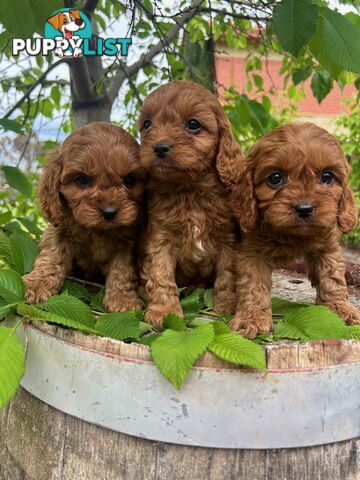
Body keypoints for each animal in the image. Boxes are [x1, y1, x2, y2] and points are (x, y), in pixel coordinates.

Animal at [23, 122, 146, 314]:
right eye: (82, 179)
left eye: (129, 179)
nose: (109, 212)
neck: (97, 231)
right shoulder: (59, 229)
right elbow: (51, 256)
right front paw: (38, 284)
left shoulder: (126, 243)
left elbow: (122, 270)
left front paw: (122, 300)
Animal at [137, 80, 242, 326]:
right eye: (147, 124)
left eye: (193, 124)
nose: (159, 147)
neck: (190, 189)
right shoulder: (160, 239)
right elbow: (161, 275)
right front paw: (164, 312)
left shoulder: (228, 241)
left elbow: (227, 276)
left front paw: (225, 307)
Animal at [226, 121, 358, 338]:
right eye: (275, 178)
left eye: (327, 177)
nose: (304, 208)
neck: (291, 234)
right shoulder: (251, 252)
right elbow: (253, 285)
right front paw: (251, 319)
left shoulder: (327, 246)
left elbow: (332, 278)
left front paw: (340, 308)